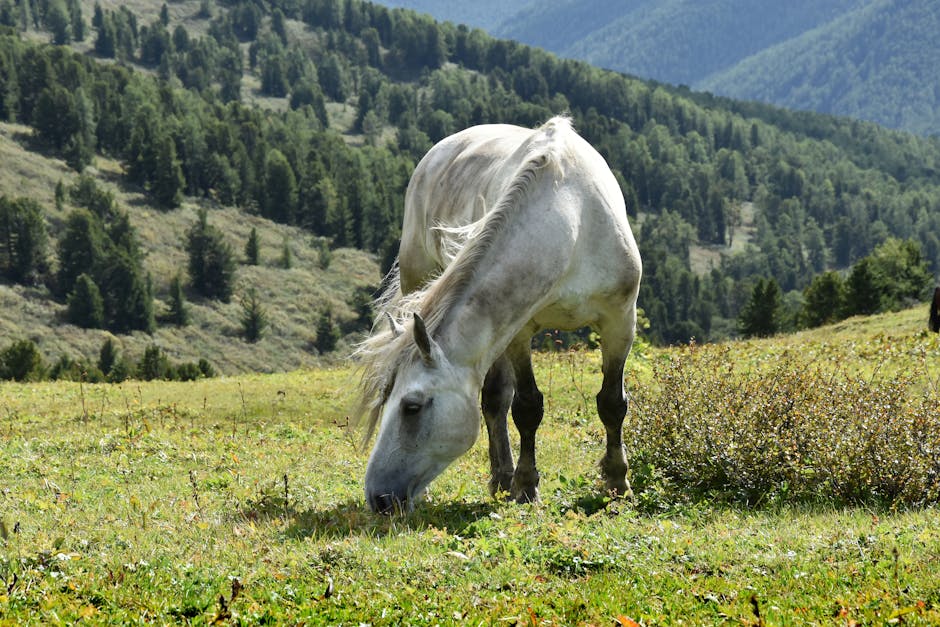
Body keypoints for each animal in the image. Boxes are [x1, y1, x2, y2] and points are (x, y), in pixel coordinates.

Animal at [356, 118, 644, 516]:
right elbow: (526, 406)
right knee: (495, 400)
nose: (378, 497)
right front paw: (525, 486)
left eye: (411, 407)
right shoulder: (519, 332)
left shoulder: (620, 321)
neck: (572, 220)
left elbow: (612, 403)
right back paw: (502, 479)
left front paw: (618, 484)